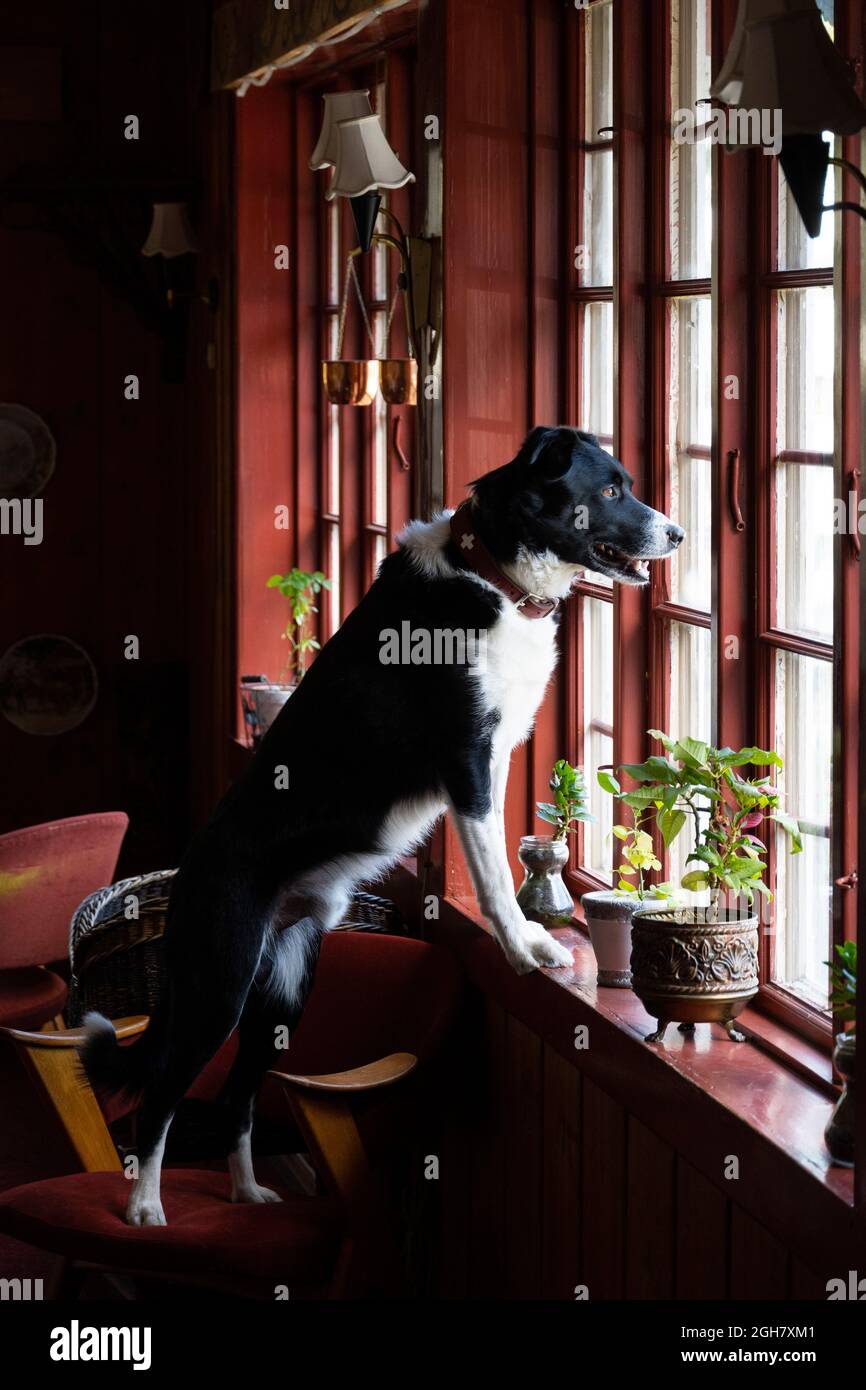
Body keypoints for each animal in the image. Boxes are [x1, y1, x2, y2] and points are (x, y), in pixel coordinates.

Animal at [84, 417, 686, 1223]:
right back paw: (146, 1207)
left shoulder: (495, 762)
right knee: (161, 1096)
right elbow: (494, 879)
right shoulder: (467, 765)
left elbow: (500, 859)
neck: (492, 574)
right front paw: (525, 950)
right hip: (218, 983)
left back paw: (247, 1192)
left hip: (284, 992)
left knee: (240, 1096)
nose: (677, 533)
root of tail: (185, 876)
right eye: (612, 490)